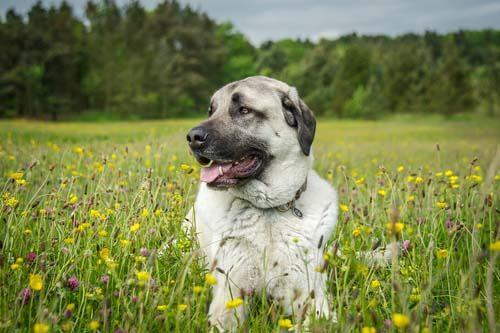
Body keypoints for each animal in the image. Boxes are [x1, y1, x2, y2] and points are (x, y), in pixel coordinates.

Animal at [186, 76, 338, 330]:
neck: (268, 211)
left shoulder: (310, 292)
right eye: (211, 110)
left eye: (244, 110)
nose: (192, 138)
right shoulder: (230, 293)